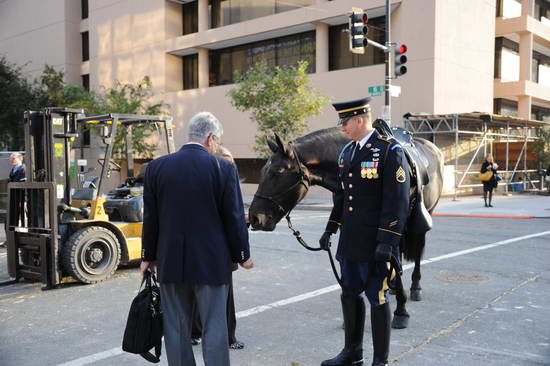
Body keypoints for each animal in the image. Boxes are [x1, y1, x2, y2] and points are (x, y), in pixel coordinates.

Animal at [248, 126, 446, 328]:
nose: (254, 218)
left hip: (424, 216)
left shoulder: (390, 228)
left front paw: (401, 311)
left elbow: (394, 262)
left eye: (277, 172)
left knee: (418, 251)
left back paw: (415, 287)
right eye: (262, 170)